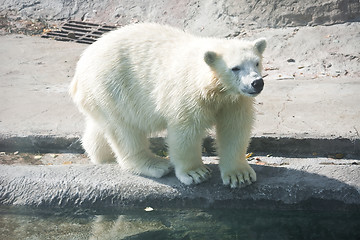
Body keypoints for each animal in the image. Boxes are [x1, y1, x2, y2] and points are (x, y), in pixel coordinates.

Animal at [70, 23, 266, 188]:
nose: (257, 83)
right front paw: (196, 173)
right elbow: (186, 131)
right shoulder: (188, 94)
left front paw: (239, 176)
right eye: (235, 68)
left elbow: (234, 128)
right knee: (125, 130)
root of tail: (79, 71)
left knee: (104, 126)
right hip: (112, 87)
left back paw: (101, 154)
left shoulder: (234, 101)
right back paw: (156, 165)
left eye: (257, 63)